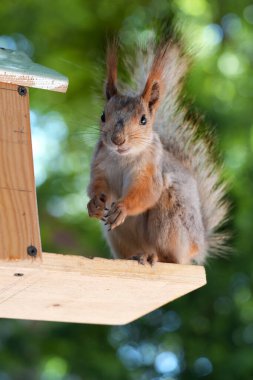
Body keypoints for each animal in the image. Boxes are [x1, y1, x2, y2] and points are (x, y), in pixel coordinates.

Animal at [86, 37, 228, 266]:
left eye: (144, 120)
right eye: (103, 116)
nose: (117, 140)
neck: (123, 157)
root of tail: (198, 246)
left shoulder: (151, 168)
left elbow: (147, 192)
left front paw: (123, 207)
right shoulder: (100, 164)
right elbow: (96, 185)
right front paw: (94, 204)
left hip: (172, 220)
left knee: (171, 258)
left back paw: (154, 256)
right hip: (118, 235)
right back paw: (136, 255)